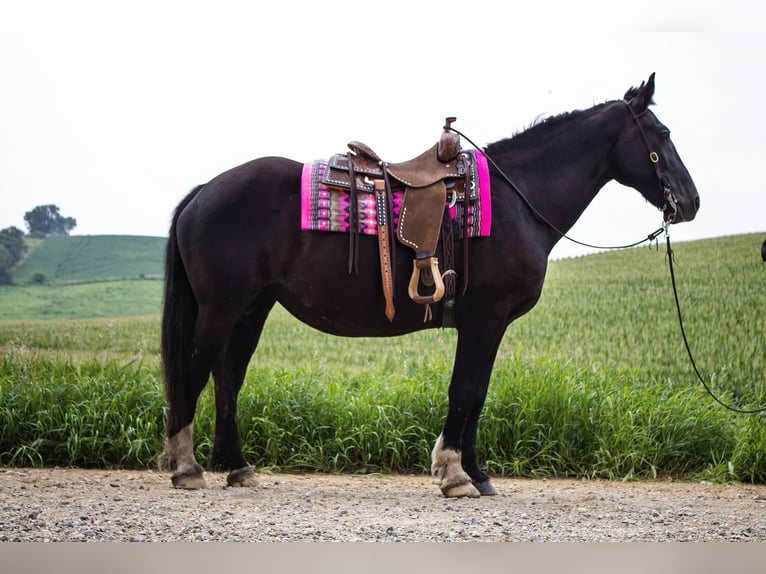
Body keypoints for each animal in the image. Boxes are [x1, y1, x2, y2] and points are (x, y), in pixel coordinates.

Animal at [158, 73, 700, 497]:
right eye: (662, 133)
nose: (691, 201)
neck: (515, 200)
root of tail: (204, 191)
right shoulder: (485, 318)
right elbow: (467, 390)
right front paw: (457, 474)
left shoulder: (487, 325)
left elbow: (476, 393)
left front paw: (473, 472)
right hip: (222, 307)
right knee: (195, 369)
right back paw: (187, 467)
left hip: (253, 306)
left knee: (228, 375)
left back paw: (237, 466)